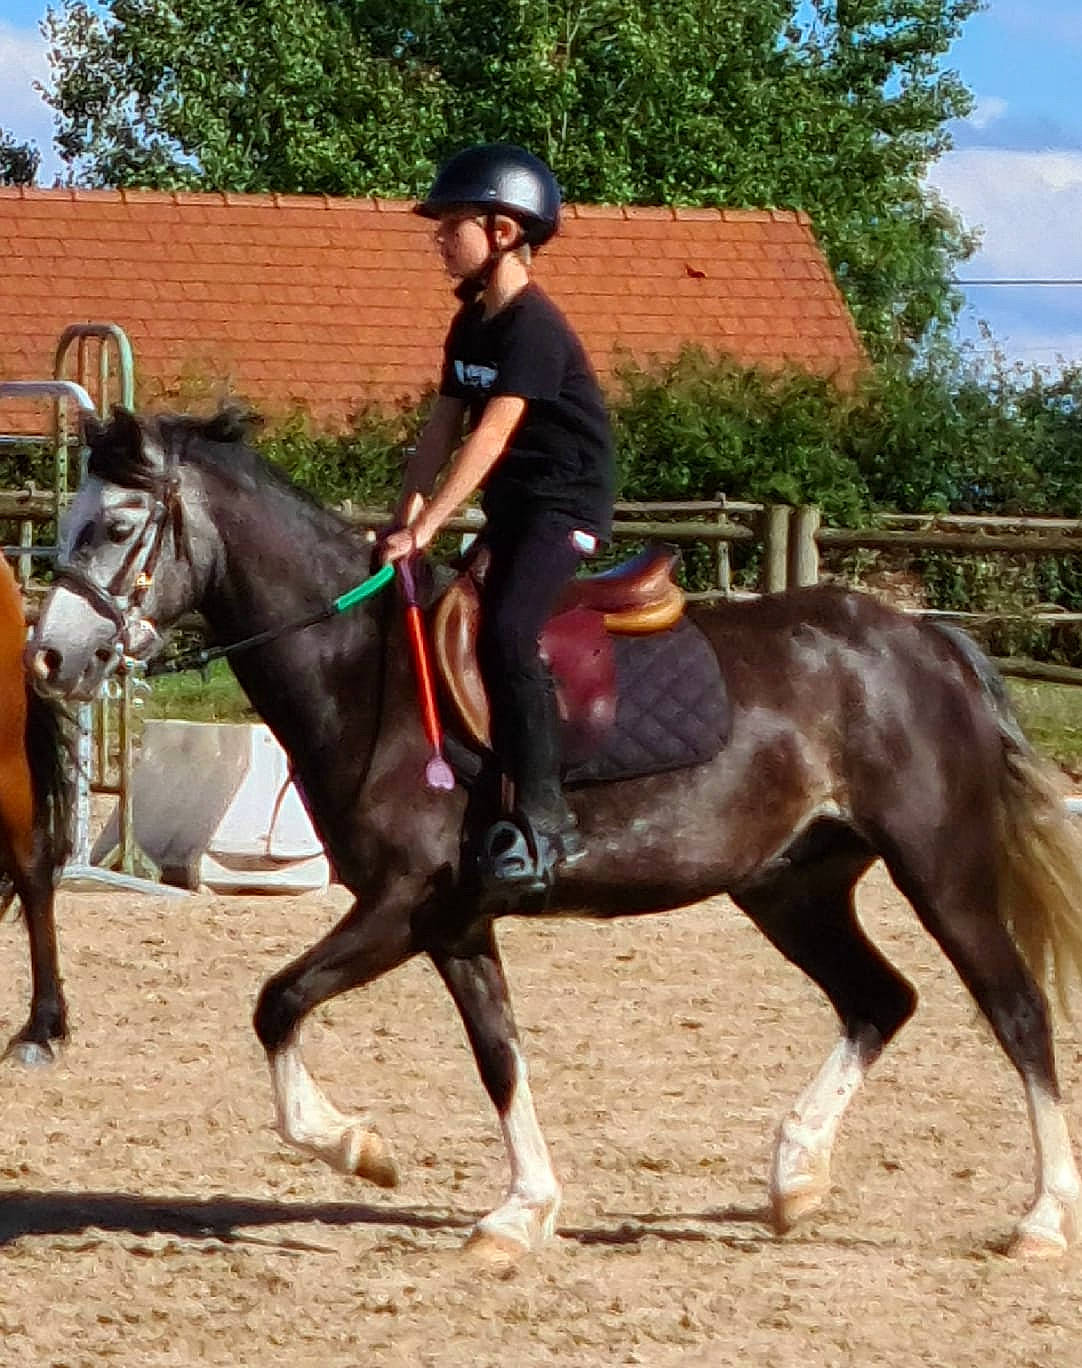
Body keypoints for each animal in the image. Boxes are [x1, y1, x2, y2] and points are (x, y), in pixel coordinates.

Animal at [25, 405, 1082, 1262]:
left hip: (939, 869)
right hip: (791, 887)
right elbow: (499, 1054)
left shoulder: (402, 904)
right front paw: (520, 1212)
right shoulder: (452, 921)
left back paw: (1039, 1219)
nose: (49, 658)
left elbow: (276, 1002)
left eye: (116, 525)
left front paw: (364, 1150)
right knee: (879, 999)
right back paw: (794, 1179)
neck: (366, 670)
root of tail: (925, 640)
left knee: (1017, 1011)